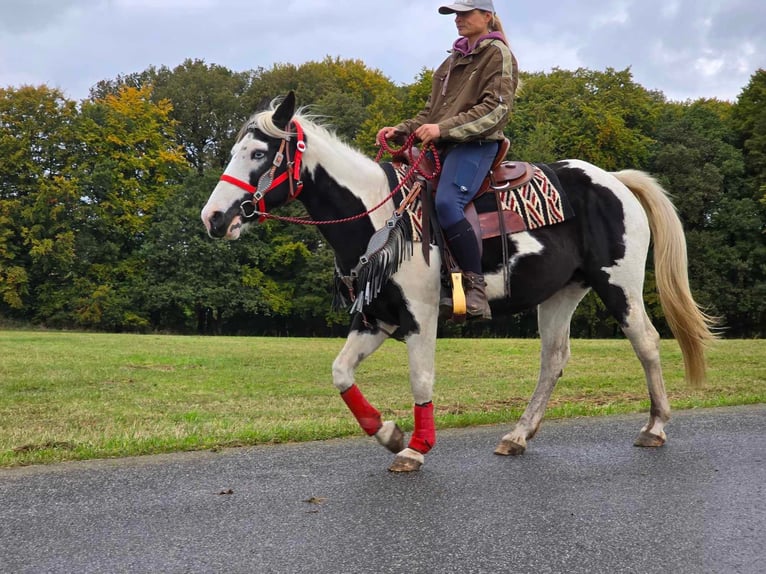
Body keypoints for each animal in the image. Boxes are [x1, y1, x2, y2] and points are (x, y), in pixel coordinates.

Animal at [201, 93, 716, 472]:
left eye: (259, 153)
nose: (213, 218)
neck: (381, 217)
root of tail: (614, 179)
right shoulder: (376, 318)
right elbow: (341, 372)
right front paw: (388, 433)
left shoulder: (420, 315)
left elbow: (421, 378)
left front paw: (415, 447)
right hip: (560, 294)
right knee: (553, 360)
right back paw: (517, 435)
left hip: (619, 285)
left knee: (646, 342)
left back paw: (654, 428)